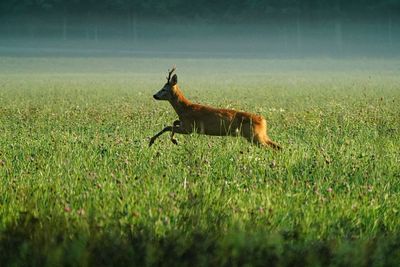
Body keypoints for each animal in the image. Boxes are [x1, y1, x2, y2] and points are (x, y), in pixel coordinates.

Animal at [148, 66, 282, 151]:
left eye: (164, 89)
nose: (154, 95)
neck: (185, 109)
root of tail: (263, 121)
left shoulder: (189, 128)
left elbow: (168, 127)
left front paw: (155, 141)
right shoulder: (184, 124)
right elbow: (173, 123)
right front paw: (172, 140)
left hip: (255, 136)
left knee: (272, 148)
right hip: (260, 135)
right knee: (278, 146)